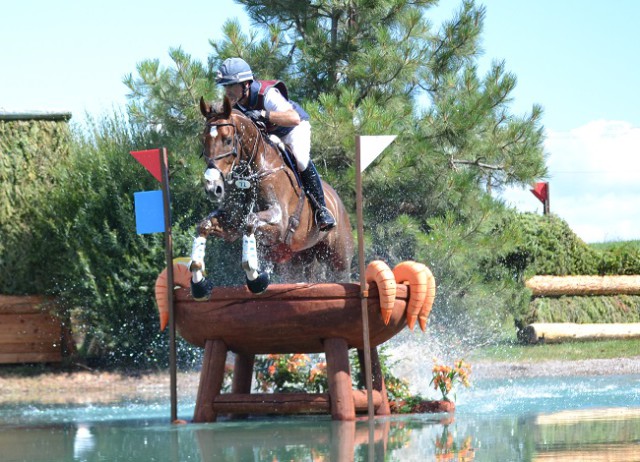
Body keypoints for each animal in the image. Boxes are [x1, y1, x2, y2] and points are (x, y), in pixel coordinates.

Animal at [190, 96, 356, 296]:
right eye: (203, 140)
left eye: (228, 140)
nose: (212, 187)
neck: (254, 171)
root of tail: (337, 202)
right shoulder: (232, 223)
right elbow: (205, 225)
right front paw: (199, 284)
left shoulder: (280, 222)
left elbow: (250, 223)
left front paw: (256, 279)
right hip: (298, 259)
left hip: (339, 261)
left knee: (343, 277)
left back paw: (325, 216)